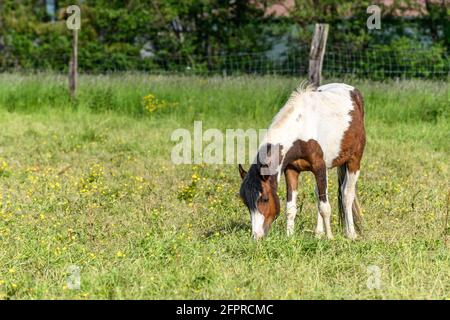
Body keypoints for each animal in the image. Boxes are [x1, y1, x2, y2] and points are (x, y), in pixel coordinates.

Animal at [239, 82, 366, 240]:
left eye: (265, 199)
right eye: (246, 203)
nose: (256, 236)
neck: (301, 129)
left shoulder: (319, 167)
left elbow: (325, 207)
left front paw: (330, 237)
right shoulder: (292, 170)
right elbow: (291, 208)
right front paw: (289, 237)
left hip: (353, 161)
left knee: (347, 194)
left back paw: (351, 233)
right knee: (320, 194)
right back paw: (318, 233)